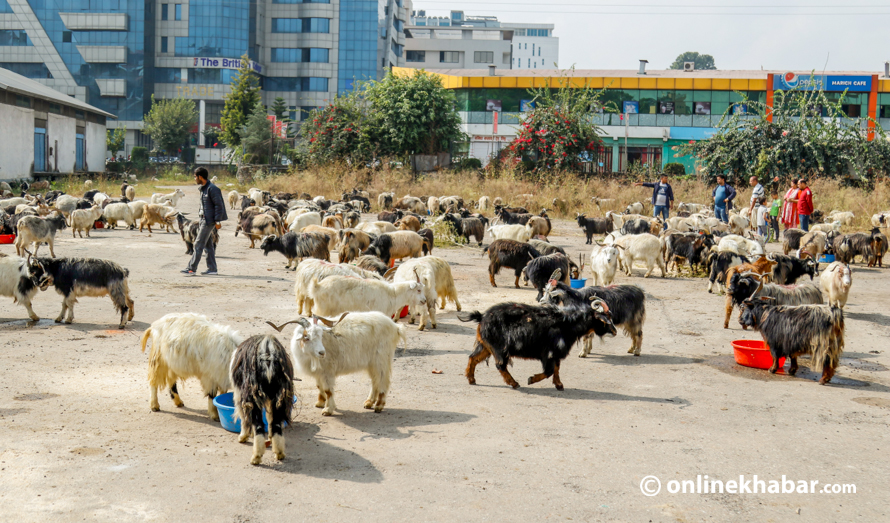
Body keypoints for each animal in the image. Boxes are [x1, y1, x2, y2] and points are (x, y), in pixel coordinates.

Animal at [229, 334, 294, 464]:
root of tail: (267, 351)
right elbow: (269, 418)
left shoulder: (239, 393)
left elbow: (244, 418)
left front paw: (243, 437)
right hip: (278, 396)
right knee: (275, 423)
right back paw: (279, 453)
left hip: (251, 395)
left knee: (258, 425)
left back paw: (256, 457)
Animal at [454, 298, 612, 388]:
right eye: (605, 318)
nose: (614, 331)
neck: (567, 323)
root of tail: (482, 316)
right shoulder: (548, 353)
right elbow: (549, 371)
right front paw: (531, 379)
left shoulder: (555, 353)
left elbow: (556, 369)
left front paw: (559, 385)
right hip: (499, 348)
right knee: (500, 365)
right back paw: (514, 383)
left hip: (486, 346)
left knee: (473, 358)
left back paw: (471, 379)